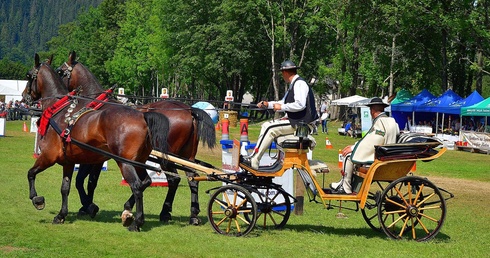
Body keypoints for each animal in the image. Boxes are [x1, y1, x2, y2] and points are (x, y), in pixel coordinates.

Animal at [23, 53, 170, 231]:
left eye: (28, 76)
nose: (24, 97)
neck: (58, 110)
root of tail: (142, 115)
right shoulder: (69, 162)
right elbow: (66, 187)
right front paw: (62, 214)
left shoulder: (48, 156)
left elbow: (31, 173)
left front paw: (37, 199)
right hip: (139, 161)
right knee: (145, 182)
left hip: (125, 163)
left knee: (137, 186)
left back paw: (136, 221)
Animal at [55, 50, 214, 224]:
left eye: (60, 72)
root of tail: (189, 110)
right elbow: (84, 180)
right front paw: (87, 206)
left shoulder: (96, 156)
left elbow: (88, 181)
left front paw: (88, 206)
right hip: (187, 155)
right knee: (192, 177)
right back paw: (193, 214)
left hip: (166, 157)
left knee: (173, 180)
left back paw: (161, 211)